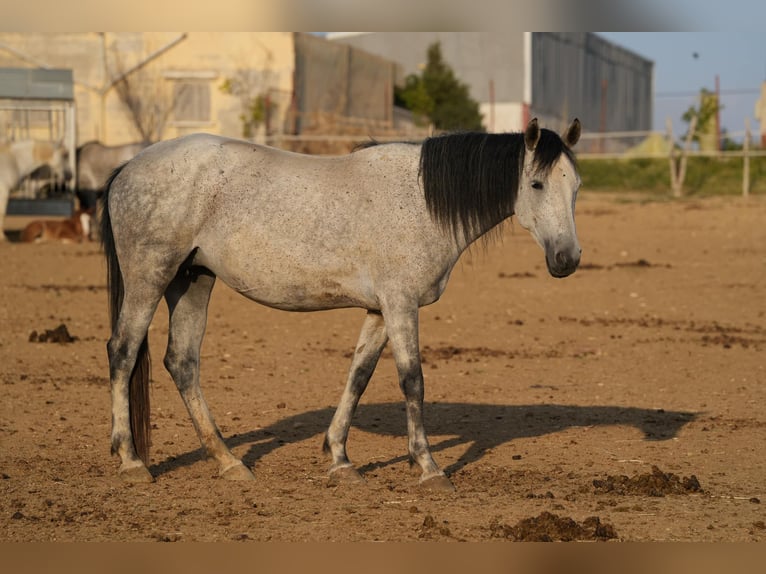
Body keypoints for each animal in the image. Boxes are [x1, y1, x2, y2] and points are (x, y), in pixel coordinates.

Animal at [100, 117, 584, 490]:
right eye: (536, 183)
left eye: (576, 186)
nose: (568, 259)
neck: (421, 201)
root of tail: (128, 167)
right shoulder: (401, 304)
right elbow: (413, 381)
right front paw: (428, 468)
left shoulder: (380, 311)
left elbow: (359, 376)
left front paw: (339, 459)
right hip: (150, 276)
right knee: (123, 352)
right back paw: (131, 461)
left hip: (193, 280)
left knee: (182, 362)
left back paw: (229, 461)